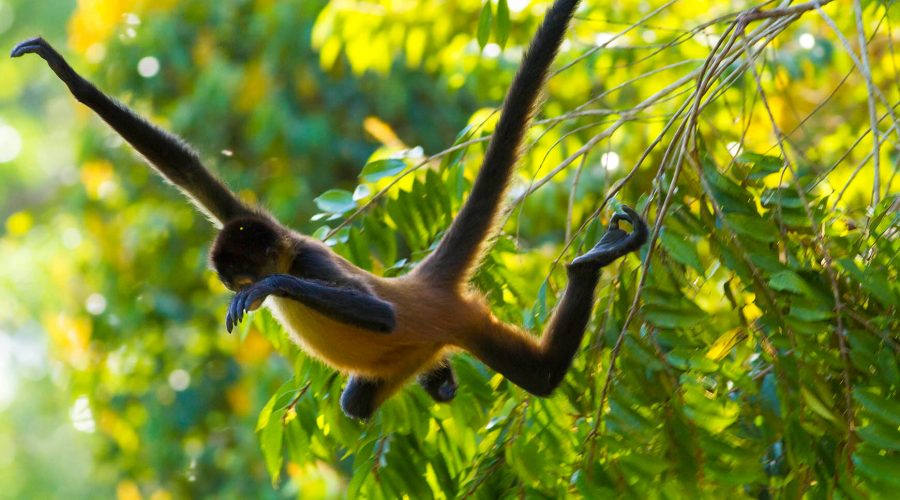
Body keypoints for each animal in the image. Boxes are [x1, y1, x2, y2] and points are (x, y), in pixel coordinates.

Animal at [14, 0, 648, 422]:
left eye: (238, 275)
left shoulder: (311, 260)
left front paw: (267, 288)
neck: (290, 249)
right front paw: (70, 79)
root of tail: (420, 286)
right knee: (358, 401)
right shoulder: (245, 217)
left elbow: (376, 315)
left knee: (537, 375)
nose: (235, 286)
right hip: (413, 354)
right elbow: (187, 170)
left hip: (457, 320)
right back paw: (438, 382)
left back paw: (587, 266)